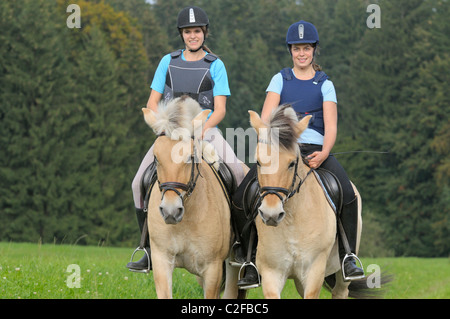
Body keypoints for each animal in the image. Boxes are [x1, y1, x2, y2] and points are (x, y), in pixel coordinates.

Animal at [143, 97, 243, 300]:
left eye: (190, 157)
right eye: (156, 158)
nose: (171, 211)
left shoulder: (212, 269)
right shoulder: (161, 261)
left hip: (232, 263)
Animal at [250, 107, 366, 300]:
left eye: (291, 163)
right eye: (258, 162)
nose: (271, 214)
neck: (292, 220)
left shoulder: (314, 270)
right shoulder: (271, 272)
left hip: (342, 273)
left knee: (340, 290)